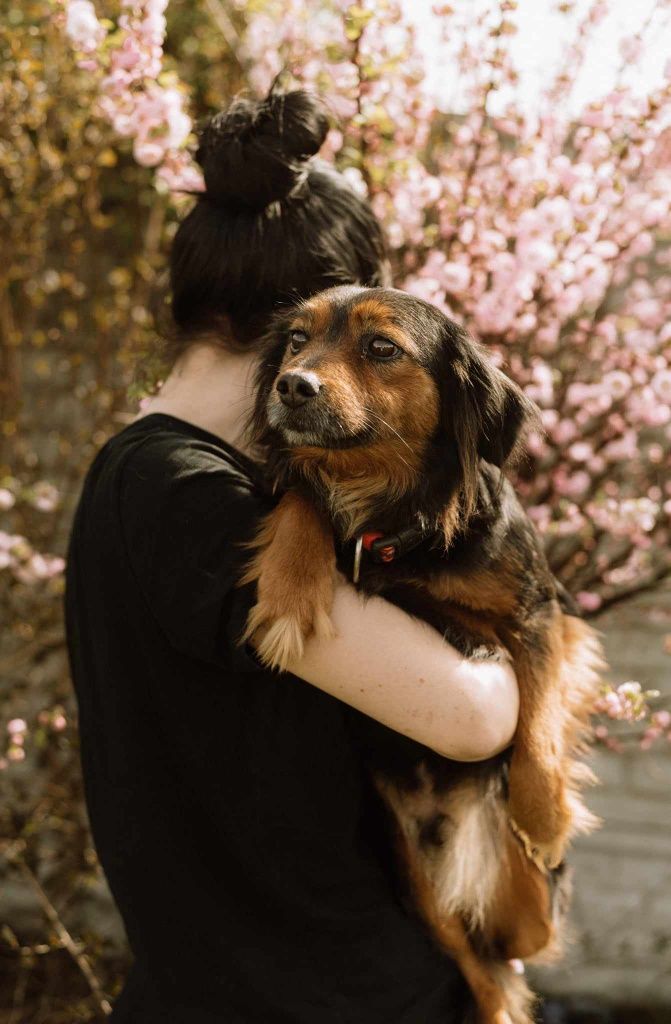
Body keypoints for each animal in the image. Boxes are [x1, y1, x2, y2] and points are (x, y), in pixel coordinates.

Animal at [241, 284, 602, 1019]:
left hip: (532, 907)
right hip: (419, 889)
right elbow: (303, 495)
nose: (292, 385)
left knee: (506, 965)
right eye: (296, 340)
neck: (387, 506)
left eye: (382, 348)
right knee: (484, 973)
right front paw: (289, 592)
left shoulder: (551, 613)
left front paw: (545, 812)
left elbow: (539, 723)